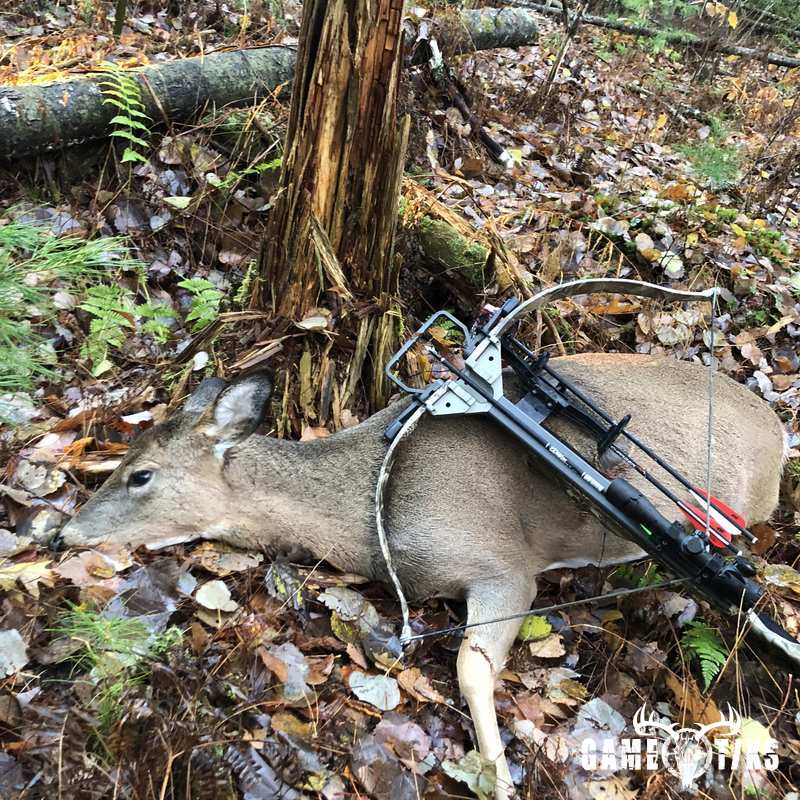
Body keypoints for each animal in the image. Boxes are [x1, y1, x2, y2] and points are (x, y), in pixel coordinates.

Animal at [58, 353, 785, 799]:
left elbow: (470, 668)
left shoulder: (504, 565)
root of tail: (781, 431)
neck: (371, 510)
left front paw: (502, 776)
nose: (63, 533)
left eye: (140, 474)